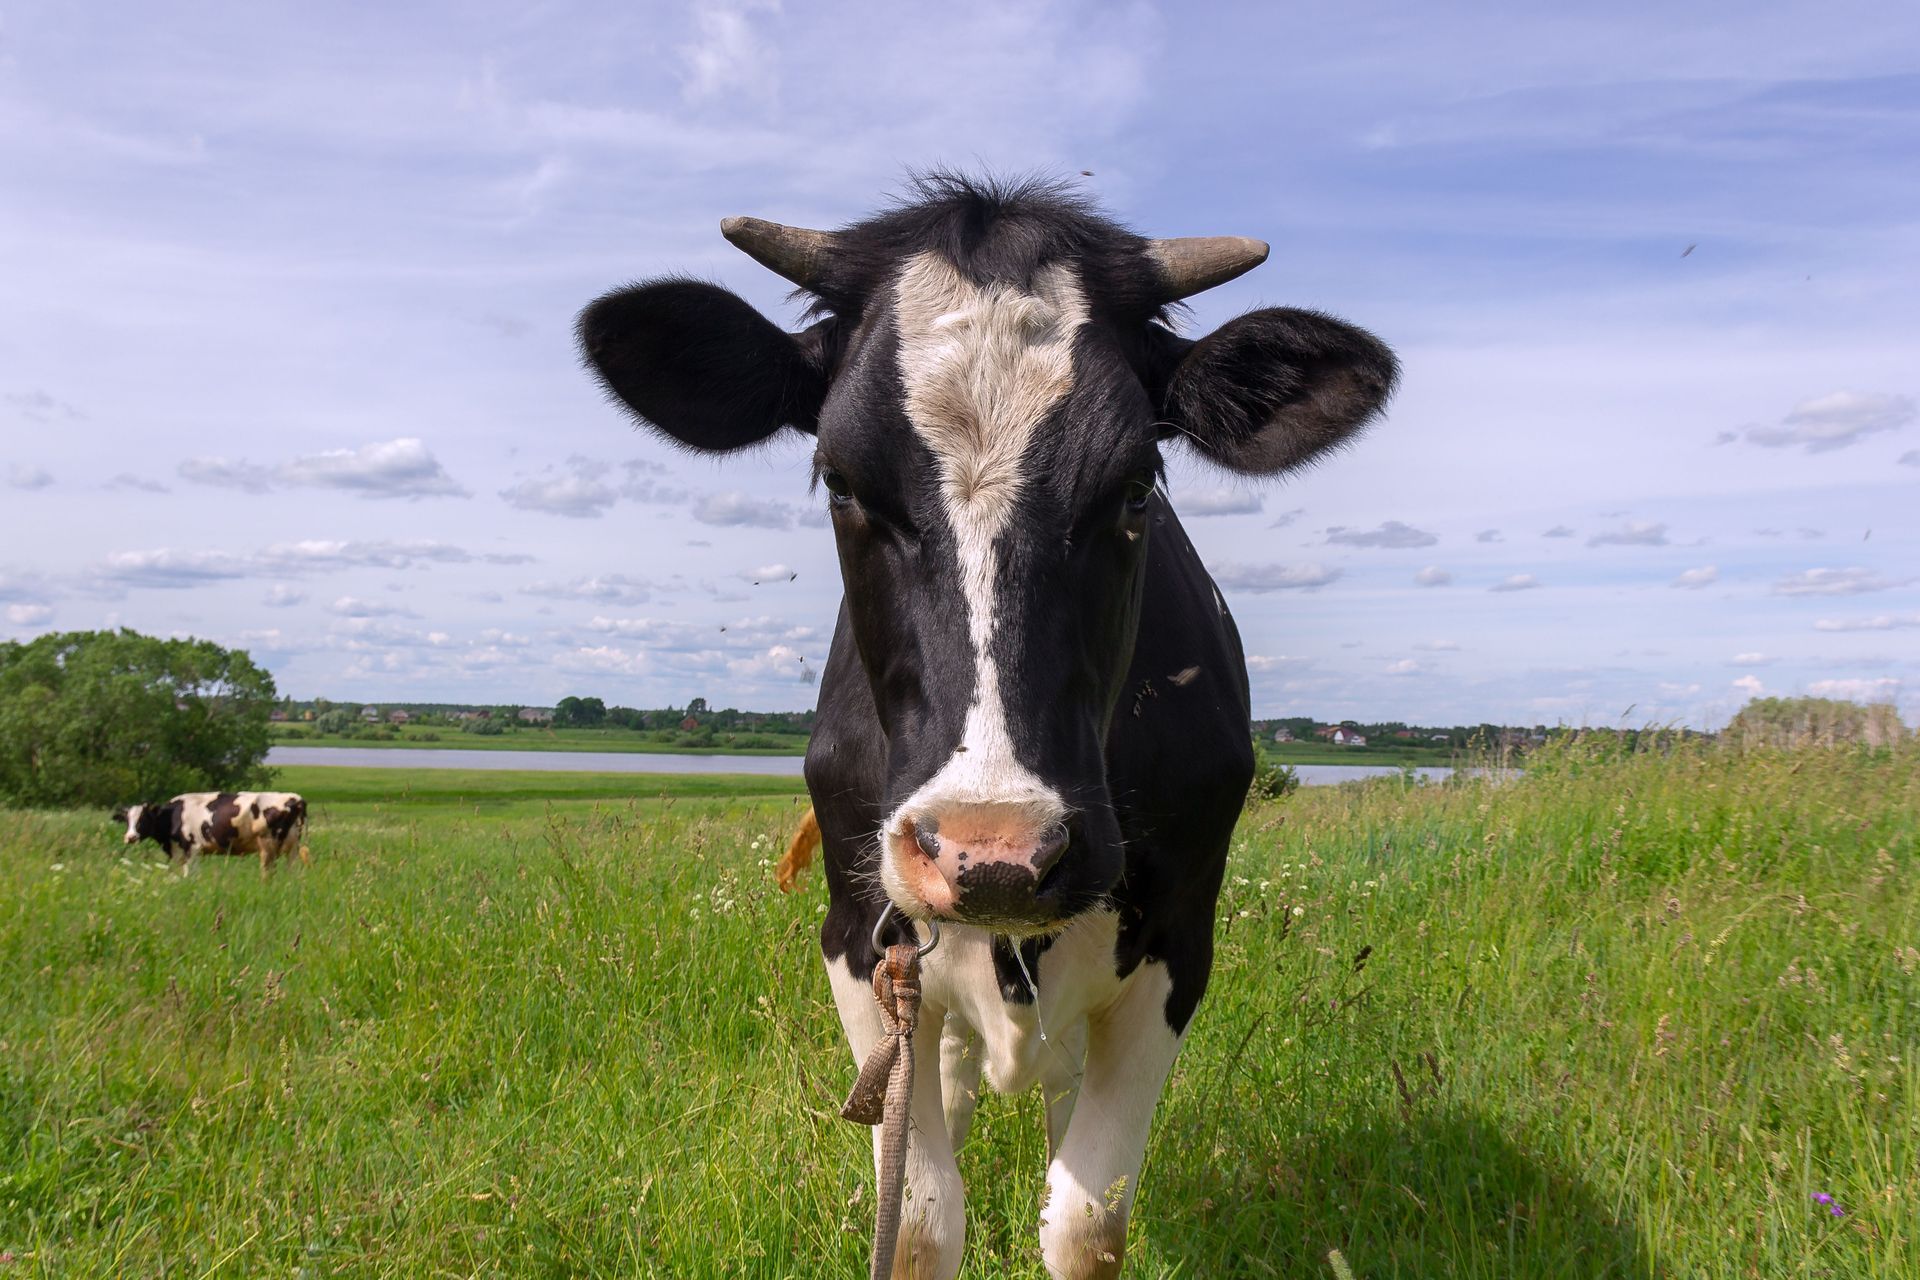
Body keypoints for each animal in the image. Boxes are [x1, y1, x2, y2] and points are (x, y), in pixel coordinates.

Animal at [116, 791, 309, 876]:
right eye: (127, 820)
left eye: (143, 819)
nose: (130, 837)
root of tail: (295, 798)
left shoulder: (192, 849)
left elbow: (190, 875)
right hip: (292, 848)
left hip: (268, 847)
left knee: (268, 874)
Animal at [578, 175, 1395, 1278]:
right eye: (842, 479)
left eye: (1137, 484)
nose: (994, 851)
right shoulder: (860, 938)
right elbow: (921, 1216)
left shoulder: (1180, 941)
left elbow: (1087, 1219)